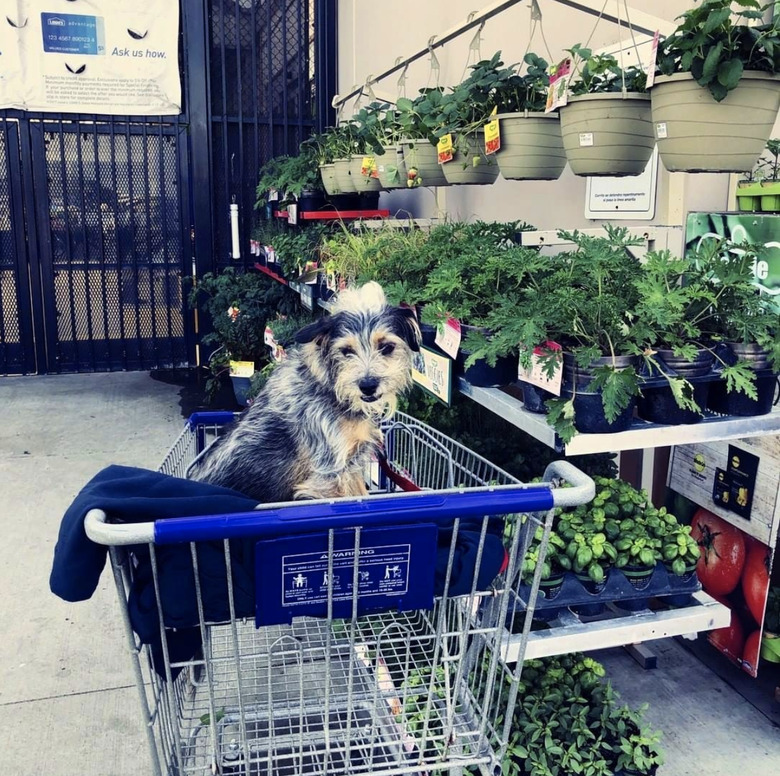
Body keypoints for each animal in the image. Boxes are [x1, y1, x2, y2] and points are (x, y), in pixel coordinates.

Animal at [189, 284, 420, 504]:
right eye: (346, 351)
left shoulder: (350, 465)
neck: (328, 388)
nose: (368, 385)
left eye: (387, 347)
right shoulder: (329, 474)